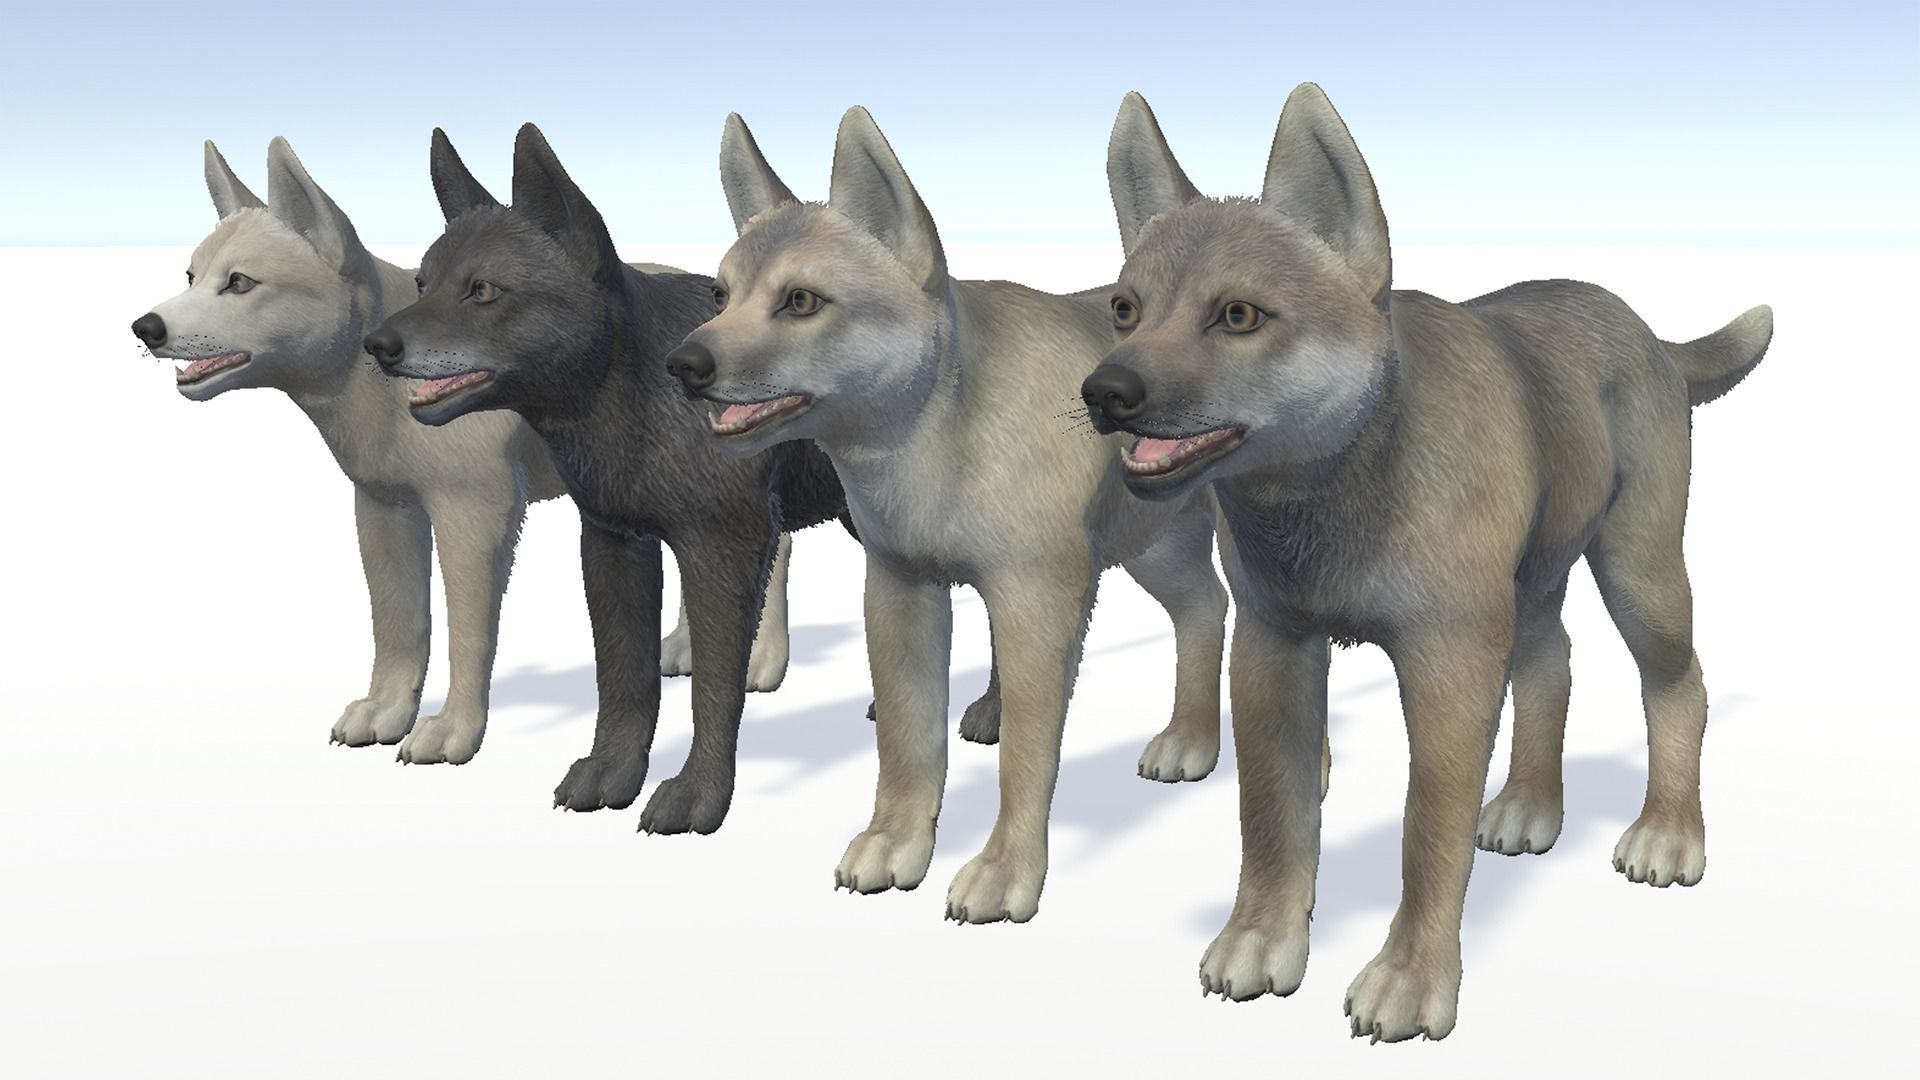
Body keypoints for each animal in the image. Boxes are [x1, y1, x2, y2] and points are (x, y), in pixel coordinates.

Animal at [130, 140, 797, 766]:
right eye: (191, 277)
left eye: (239, 283)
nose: (145, 328)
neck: (374, 385)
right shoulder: (383, 510)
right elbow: (398, 621)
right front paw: (387, 708)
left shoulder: (475, 517)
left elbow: (467, 635)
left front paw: (454, 730)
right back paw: (687, 645)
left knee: (778, 545)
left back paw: (761, 657)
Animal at [362, 123, 849, 833]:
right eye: (423, 283)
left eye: (482, 290)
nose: (376, 346)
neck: (634, 394)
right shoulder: (614, 542)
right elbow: (622, 677)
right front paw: (613, 774)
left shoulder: (720, 551)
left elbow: (712, 689)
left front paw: (699, 796)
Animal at [668, 107, 1231, 922]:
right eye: (720, 296)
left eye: (800, 301)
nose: (682, 365)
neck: (941, 438)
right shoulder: (901, 589)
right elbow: (906, 737)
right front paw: (896, 841)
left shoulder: (1036, 598)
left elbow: (1028, 756)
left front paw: (1005, 871)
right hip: (1143, 550)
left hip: (1159, 548)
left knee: (1215, 609)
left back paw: (1198, 740)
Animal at [1083, 85, 1771, 1041]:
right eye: (1125, 309)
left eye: (1239, 316)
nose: (1104, 393)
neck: (1338, 487)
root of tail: (1641, 327)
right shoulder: (1272, 647)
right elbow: (1271, 814)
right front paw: (1262, 937)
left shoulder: (1449, 662)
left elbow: (1425, 831)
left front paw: (1410, 977)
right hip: (1529, 585)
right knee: (1553, 663)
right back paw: (1529, 804)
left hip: (1639, 573)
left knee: (1679, 684)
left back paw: (1669, 832)